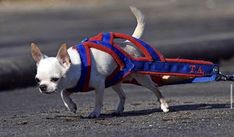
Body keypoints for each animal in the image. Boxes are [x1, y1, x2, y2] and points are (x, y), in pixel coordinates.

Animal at [31, 6, 168, 117]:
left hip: (141, 78)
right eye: (37, 80)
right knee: (123, 95)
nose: (43, 87)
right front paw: (71, 106)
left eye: (55, 79)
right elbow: (63, 93)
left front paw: (95, 112)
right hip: (114, 81)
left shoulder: (99, 85)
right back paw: (119, 109)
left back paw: (164, 105)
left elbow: (98, 101)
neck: (76, 65)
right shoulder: (73, 86)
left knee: (155, 88)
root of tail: (127, 43)